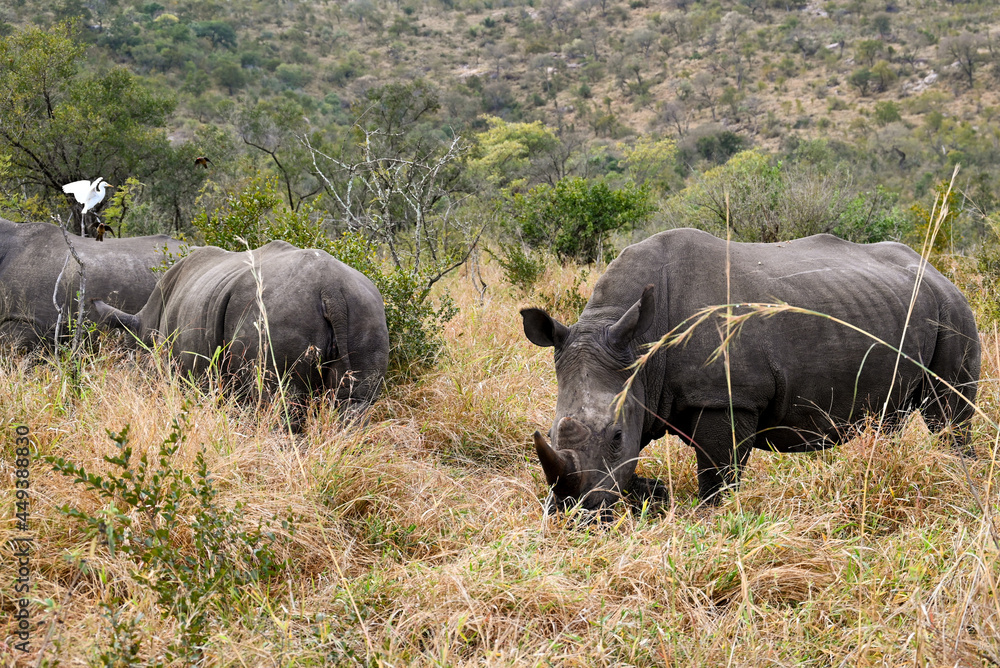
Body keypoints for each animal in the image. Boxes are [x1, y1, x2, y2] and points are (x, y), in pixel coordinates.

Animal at [94, 240, 389, 419]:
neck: (146, 324)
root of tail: (331, 290)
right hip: (366, 307)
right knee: (354, 404)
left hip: (277, 315)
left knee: (279, 402)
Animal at [522, 228, 981, 509]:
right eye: (551, 432)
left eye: (617, 436)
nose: (576, 511)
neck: (638, 344)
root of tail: (939, 271)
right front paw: (652, 495)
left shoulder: (726, 398)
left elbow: (717, 478)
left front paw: (713, 520)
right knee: (893, 417)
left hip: (953, 311)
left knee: (948, 418)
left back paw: (964, 479)